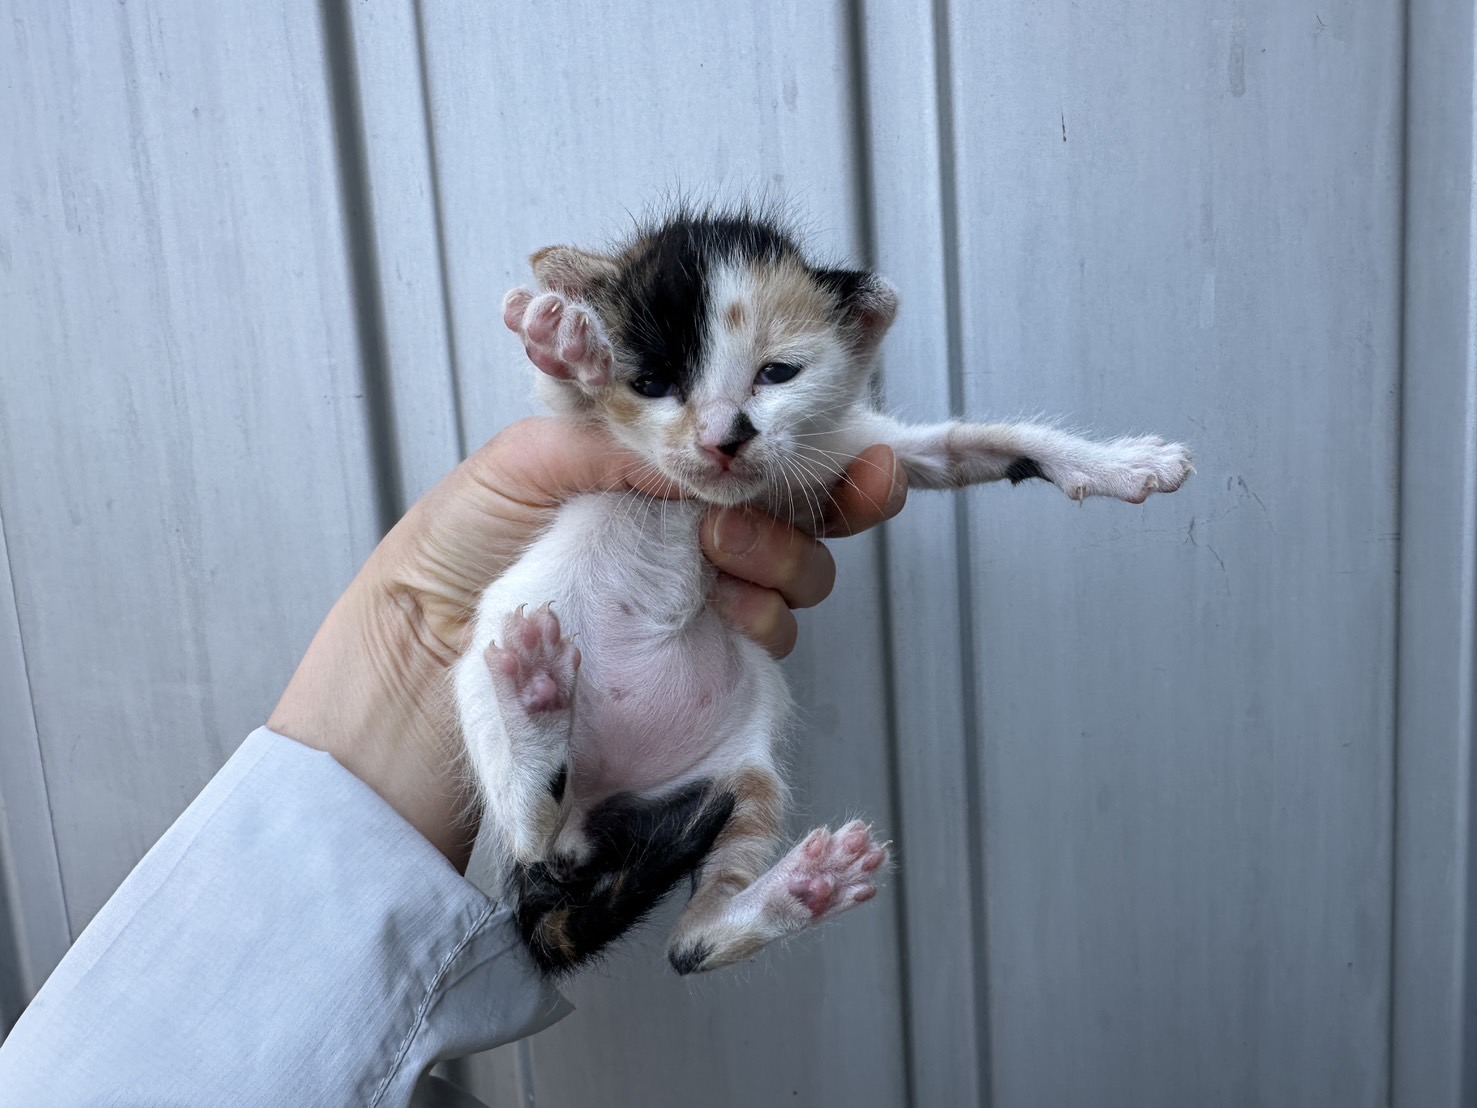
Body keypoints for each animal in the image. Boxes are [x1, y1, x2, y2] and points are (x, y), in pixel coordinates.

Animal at [454, 203, 1193, 975]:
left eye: (777, 373)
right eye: (653, 382)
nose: (723, 436)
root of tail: (586, 838)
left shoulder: (844, 452)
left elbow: (979, 442)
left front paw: (1122, 464)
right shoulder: (579, 436)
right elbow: (562, 395)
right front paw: (560, 336)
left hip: (743, 782)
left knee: (689, 943)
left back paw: (802, 890)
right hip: (481, 679)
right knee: (525, 828)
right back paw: (534, 695)